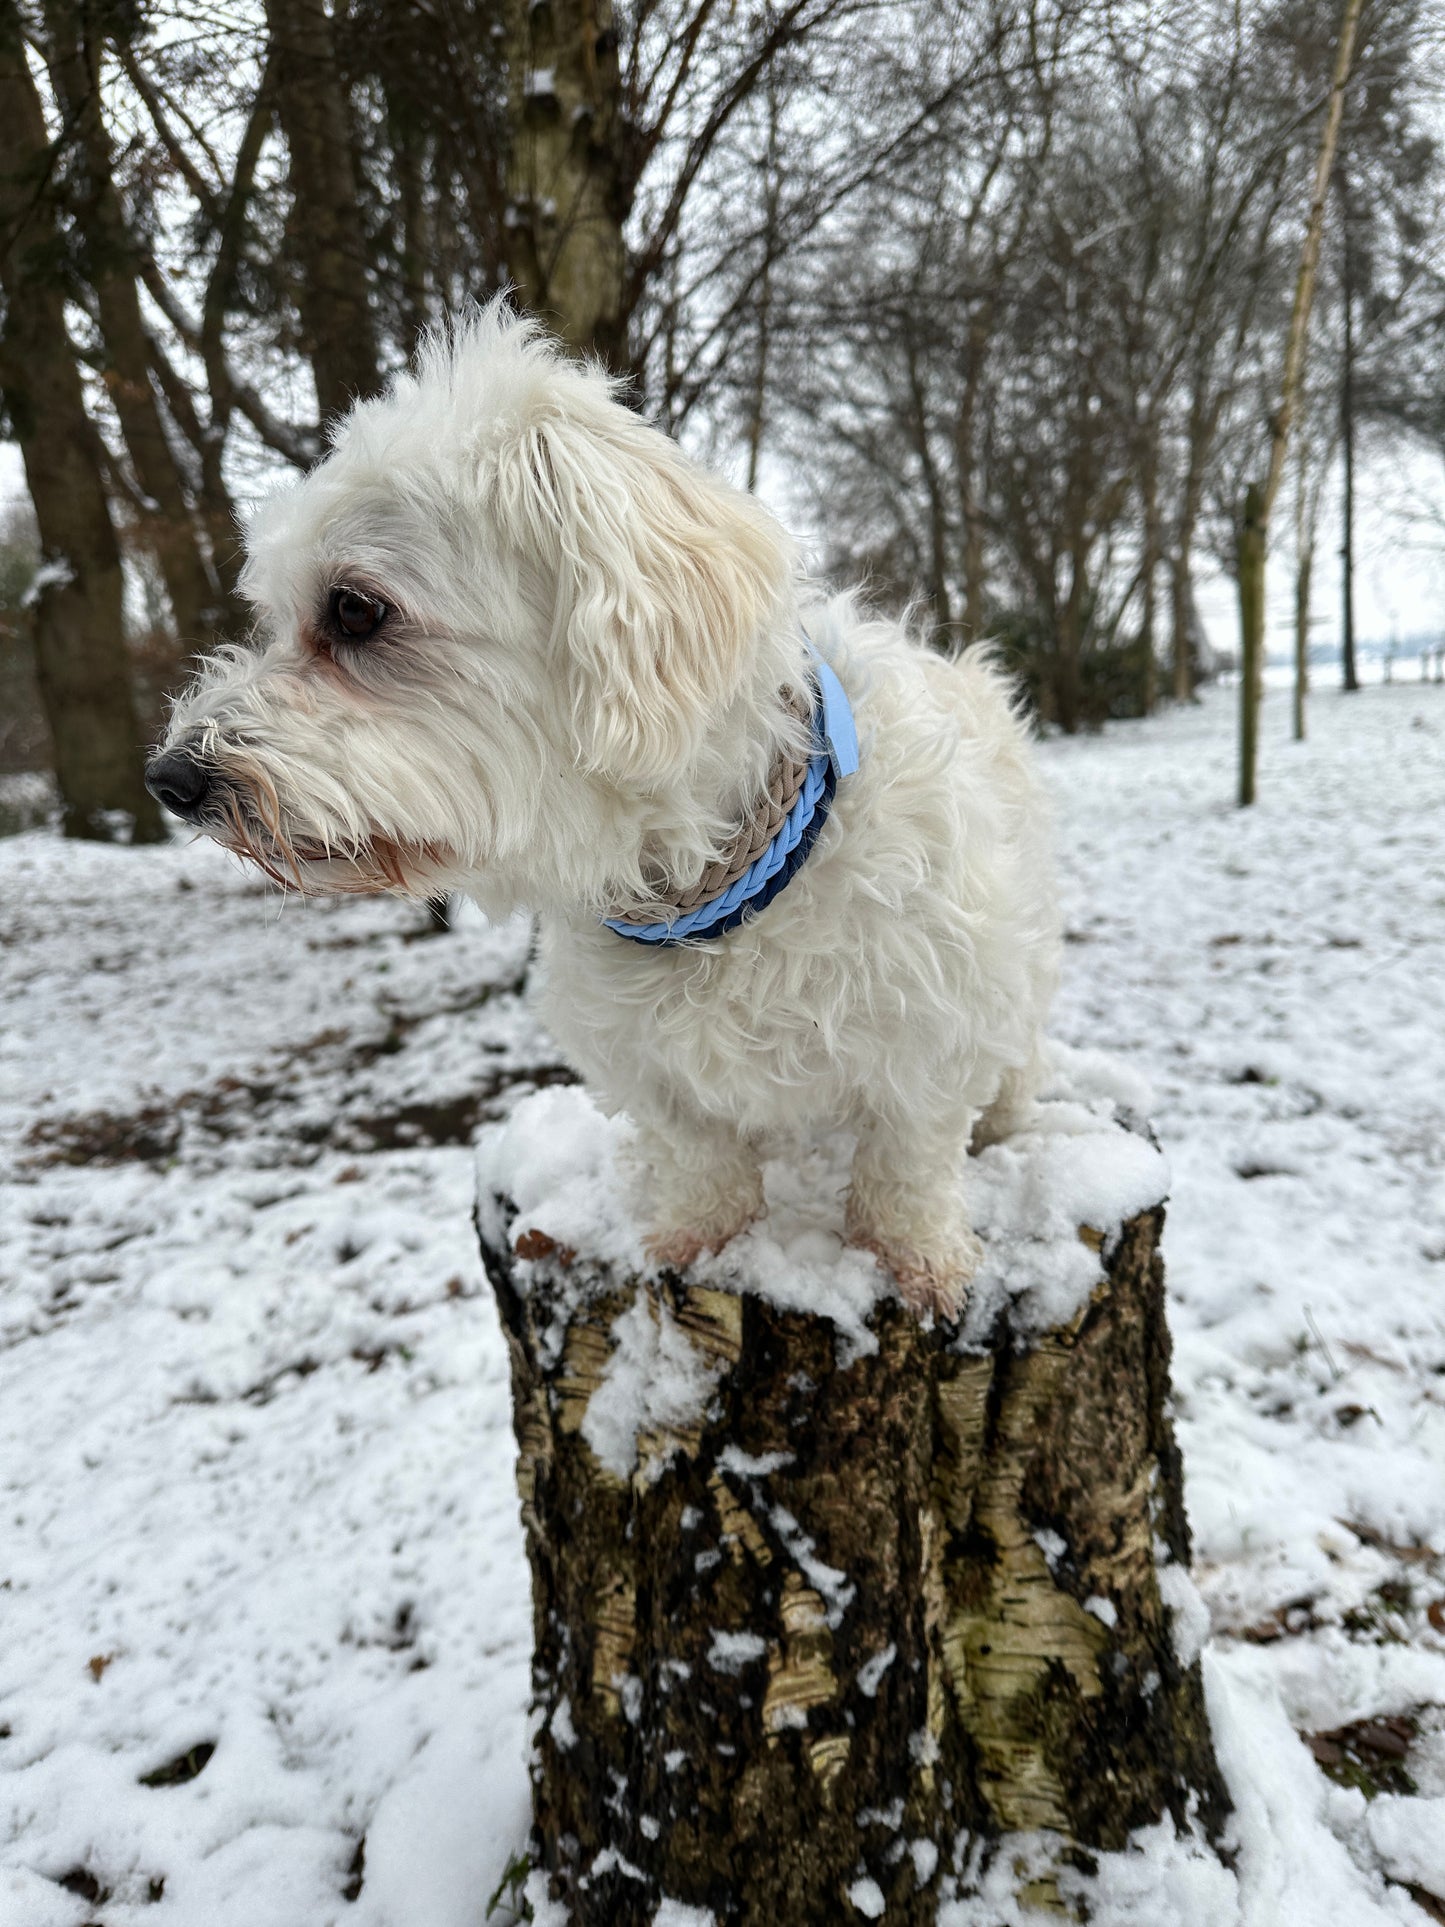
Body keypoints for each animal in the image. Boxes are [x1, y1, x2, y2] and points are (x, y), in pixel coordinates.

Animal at [150, 308, 1063, 1325]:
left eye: (354, 609)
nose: (170, 778)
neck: (706, 894)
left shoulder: (932, 1034)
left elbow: (907, 1164)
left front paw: (921, 1260)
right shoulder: (645, 1065)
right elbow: (698, 1155)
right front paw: (695, 1235)